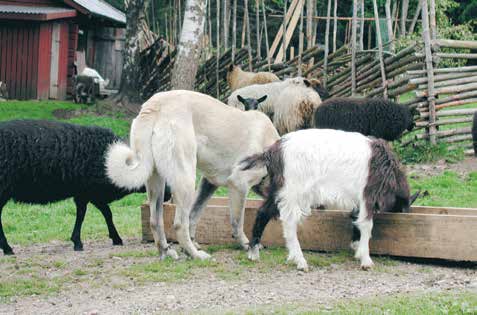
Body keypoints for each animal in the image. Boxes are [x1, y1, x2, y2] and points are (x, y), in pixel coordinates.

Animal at [0, 119, 171, 256]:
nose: (168, 195)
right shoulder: (87, 191)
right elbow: (86, 215)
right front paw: (79, 242)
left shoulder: (91, 193)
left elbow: (105, 214)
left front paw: (114, 238)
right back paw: (7, 248)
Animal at [105, 90, 278, 260]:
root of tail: (155, 105)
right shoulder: (238, 184)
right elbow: (237, 222)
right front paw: (247, 245)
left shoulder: (209, 183)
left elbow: (194, 214)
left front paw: (192, 242)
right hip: (186, 179)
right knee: (180, 224)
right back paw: (195, 254)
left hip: (156, 180)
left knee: (156, 221)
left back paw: (167, 251)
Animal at [242, 129, 416, 272]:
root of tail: (273, 151)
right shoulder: (368, 193)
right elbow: (366, 224)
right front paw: (366, 260)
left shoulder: (358, 199)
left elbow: (355, 218)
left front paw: (356, 248)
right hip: (292, 191)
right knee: (289, 222)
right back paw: (300, 262)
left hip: (279, 189)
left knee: (263, 212)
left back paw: (253, 253)